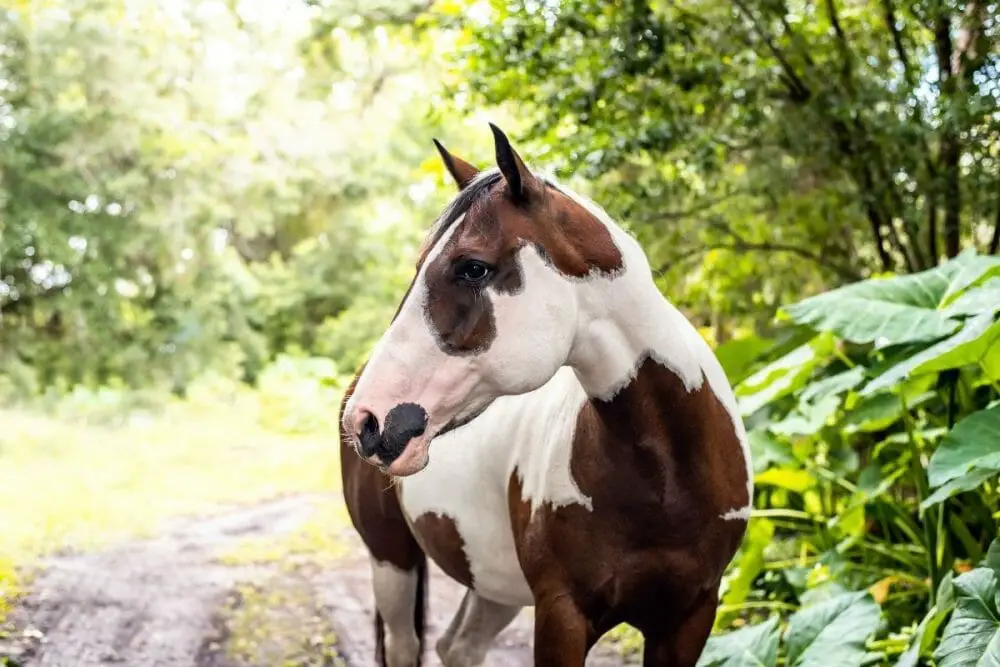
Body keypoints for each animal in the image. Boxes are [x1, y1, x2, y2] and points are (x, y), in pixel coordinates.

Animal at [339, 123, 752, 667]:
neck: (668, 480)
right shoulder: (562, 613)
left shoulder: (690, 618)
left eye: (472, 267)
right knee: (407, 645)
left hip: (491, 582)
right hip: (391, 560)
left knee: (459, 647)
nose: (365, 419)